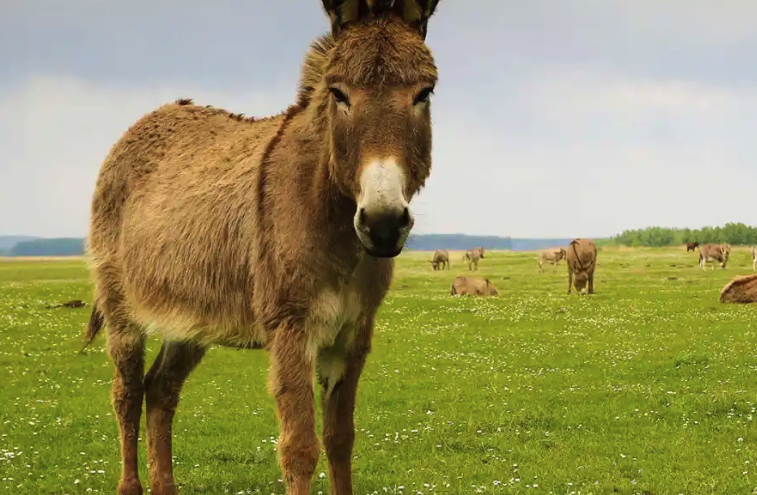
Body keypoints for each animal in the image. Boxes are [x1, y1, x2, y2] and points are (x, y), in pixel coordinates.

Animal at [79, 1, 442, 494]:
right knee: (127, 393)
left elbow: (341, 439)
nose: (383, 224)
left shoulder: (354, 335)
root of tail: (146, 120)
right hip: (121, 310)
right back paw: (130, 483)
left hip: (190, 319)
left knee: (160, 390)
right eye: (339, 94)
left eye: (424, 93)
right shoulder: (291, 328)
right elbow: (300, 449)